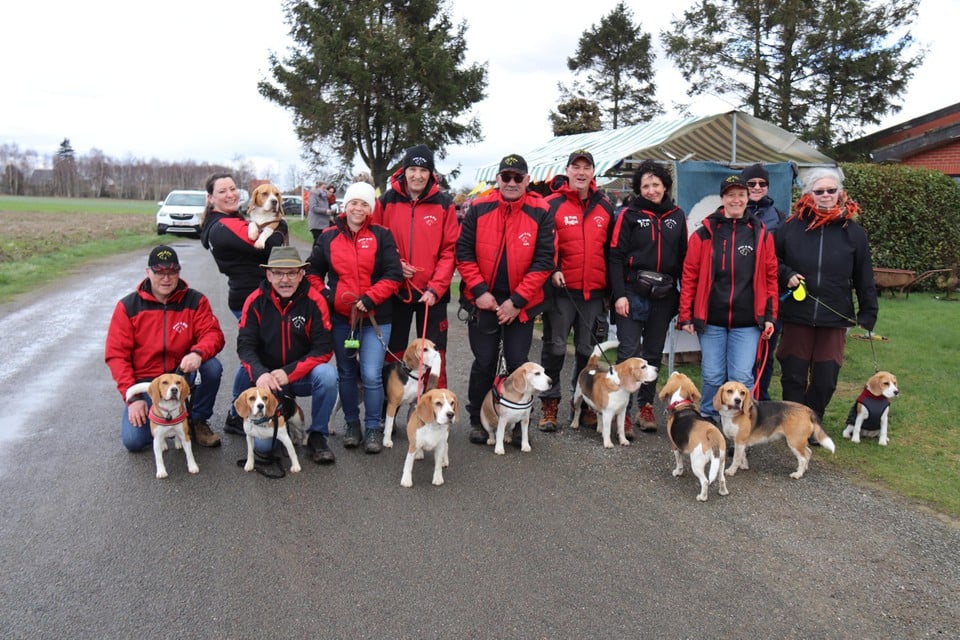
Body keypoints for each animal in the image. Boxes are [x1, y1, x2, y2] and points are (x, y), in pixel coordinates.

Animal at [660, 372, 728, 502]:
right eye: (682, 375)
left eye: (677, 376)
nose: (675, 372)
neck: (681, 403)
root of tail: (711, 432)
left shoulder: (675, 446)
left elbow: (679, 462)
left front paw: (677, 472)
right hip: (721, 460)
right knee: (721, 478)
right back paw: (723, 492)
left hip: (697, 463)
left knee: (705, 481)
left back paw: (702, 497)